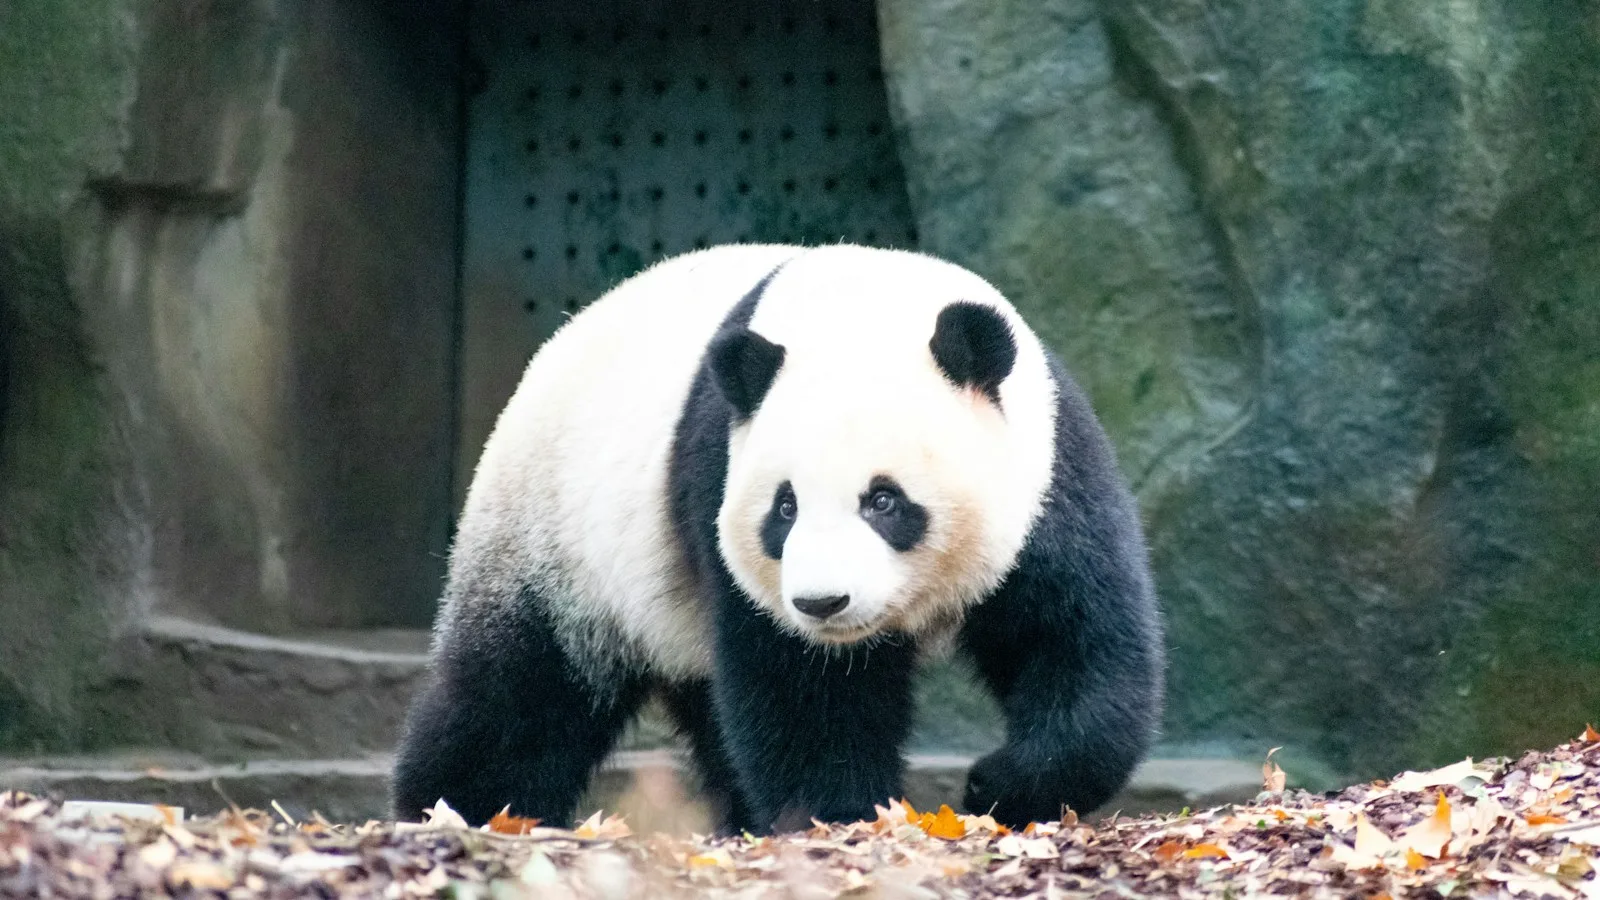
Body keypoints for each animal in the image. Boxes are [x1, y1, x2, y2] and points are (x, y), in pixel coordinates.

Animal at [391, 243, 1164, 834]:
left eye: (884, 500)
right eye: (783, 508)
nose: (824, 603)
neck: (861, 307)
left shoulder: (1049, 476)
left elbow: (1077, 640)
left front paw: (999, 785)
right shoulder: (718, 478)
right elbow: (801, 689)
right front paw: (846, 816)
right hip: (555, 540)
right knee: (520, 694)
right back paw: (457, 809)